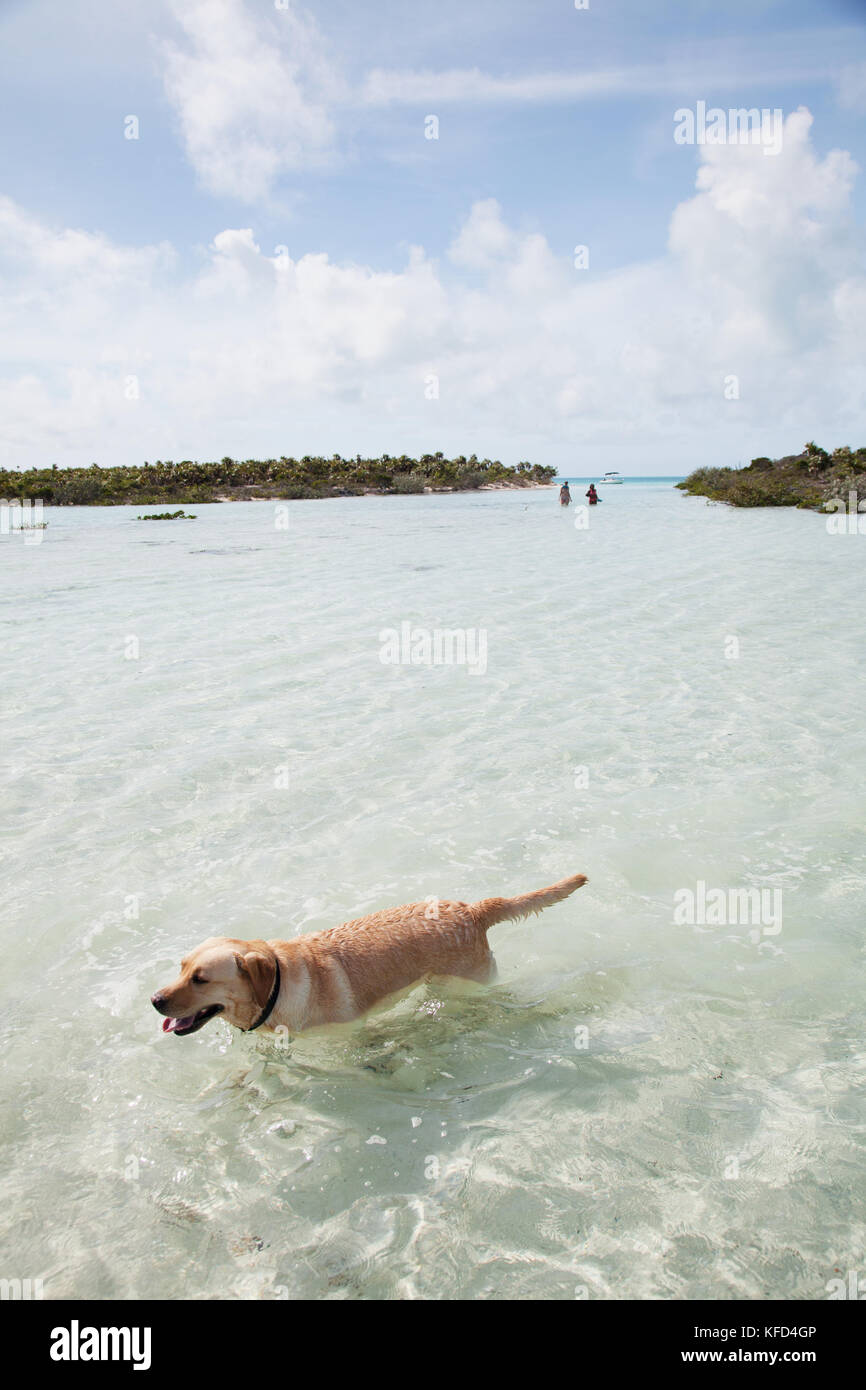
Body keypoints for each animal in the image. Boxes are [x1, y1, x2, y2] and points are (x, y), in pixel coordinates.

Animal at [154, 872, 589, 1039]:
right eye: (181, 968)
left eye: (201, 979)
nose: (155, 999)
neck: (278, 985)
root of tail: (473, 909)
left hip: (471, 982)